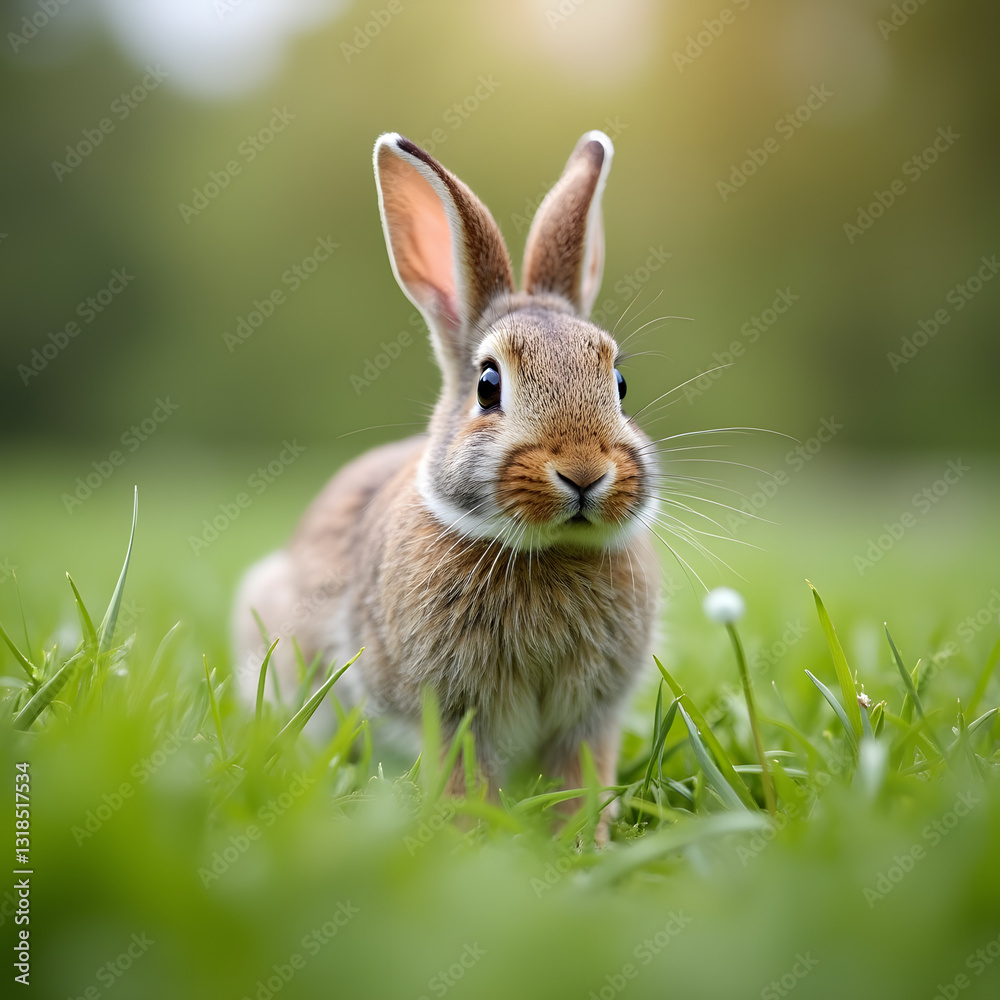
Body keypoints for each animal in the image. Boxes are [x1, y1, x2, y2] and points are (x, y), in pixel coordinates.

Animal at [233, 129, 661, 838]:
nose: (584, 472)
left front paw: (583, 844)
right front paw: (474, 842)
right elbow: (467, 779)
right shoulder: (457, 713)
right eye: (488, 385)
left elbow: (579, 782)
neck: (547, 551)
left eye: (620, 385)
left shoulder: (589, 717)